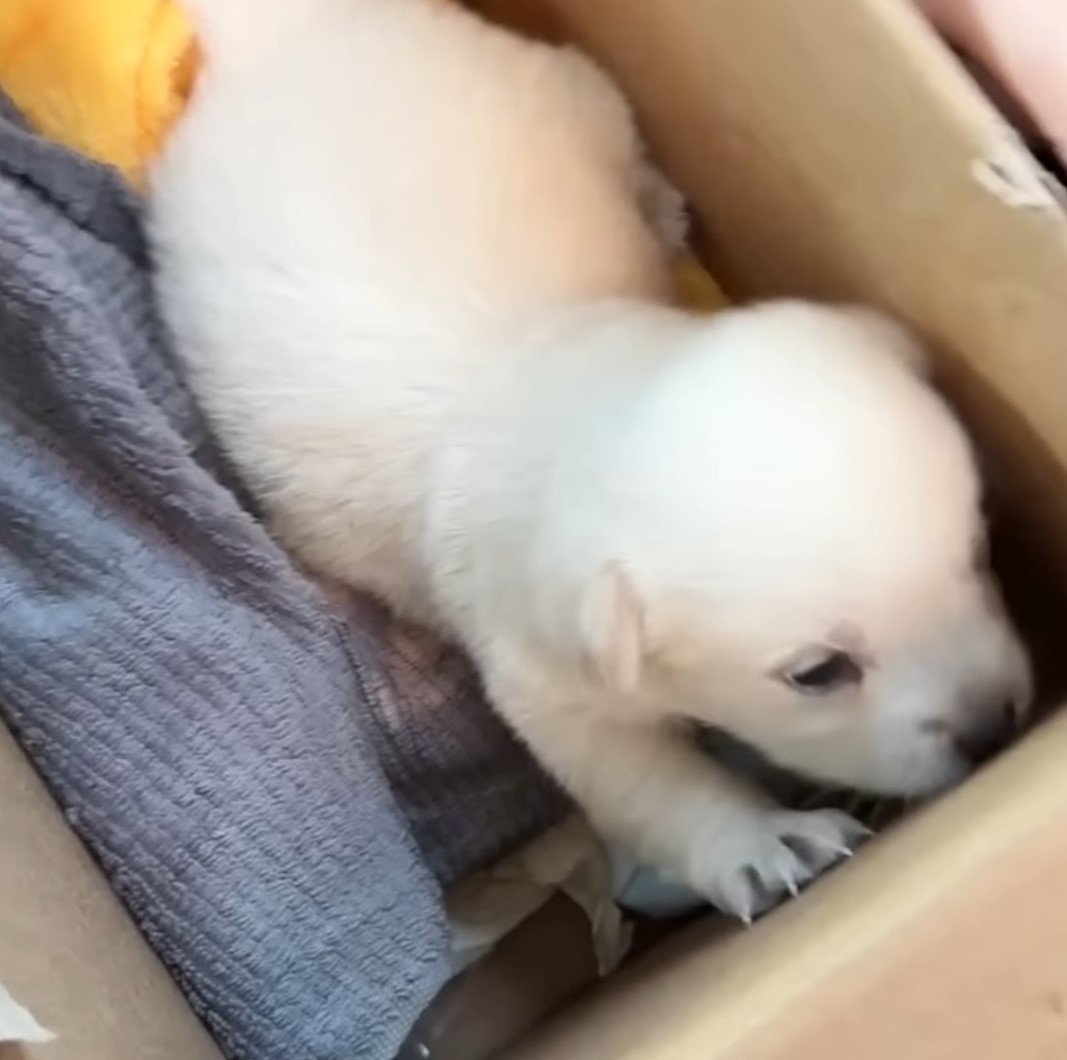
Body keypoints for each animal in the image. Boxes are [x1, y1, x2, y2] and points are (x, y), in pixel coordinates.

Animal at [150, 0, 1024, 918]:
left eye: (977, 550)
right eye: (818, 672)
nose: (990, 725)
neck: (572, 376)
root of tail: (279, 30)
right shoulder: (541, 660)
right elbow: (629, 771)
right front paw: (758, 842)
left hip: (557, 84)